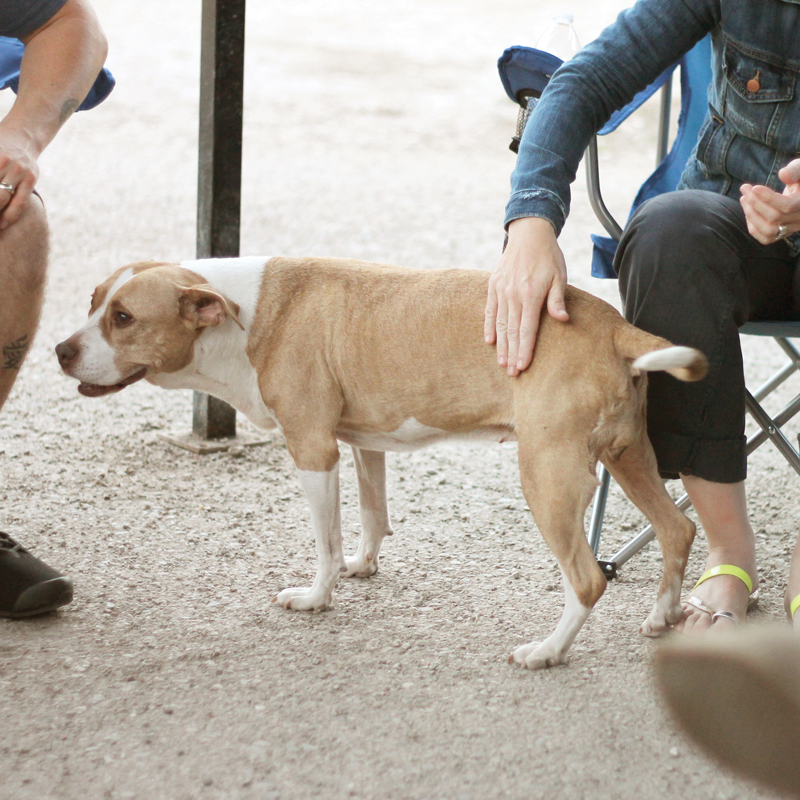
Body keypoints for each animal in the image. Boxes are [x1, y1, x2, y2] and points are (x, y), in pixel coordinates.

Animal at [56, 258, 708, 668]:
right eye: (92, 302)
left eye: (123, 318)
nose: (60, 350)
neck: (248, 312)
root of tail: (616, 325)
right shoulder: (362, 442)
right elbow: (371, 515)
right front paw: (361, 567)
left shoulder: (313, 450)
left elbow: (324, 540)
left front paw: (316, 598)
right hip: (627, 457)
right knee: (677, 528)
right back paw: (661, 615)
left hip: (547, 478)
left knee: (589, 578)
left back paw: (547, 651)